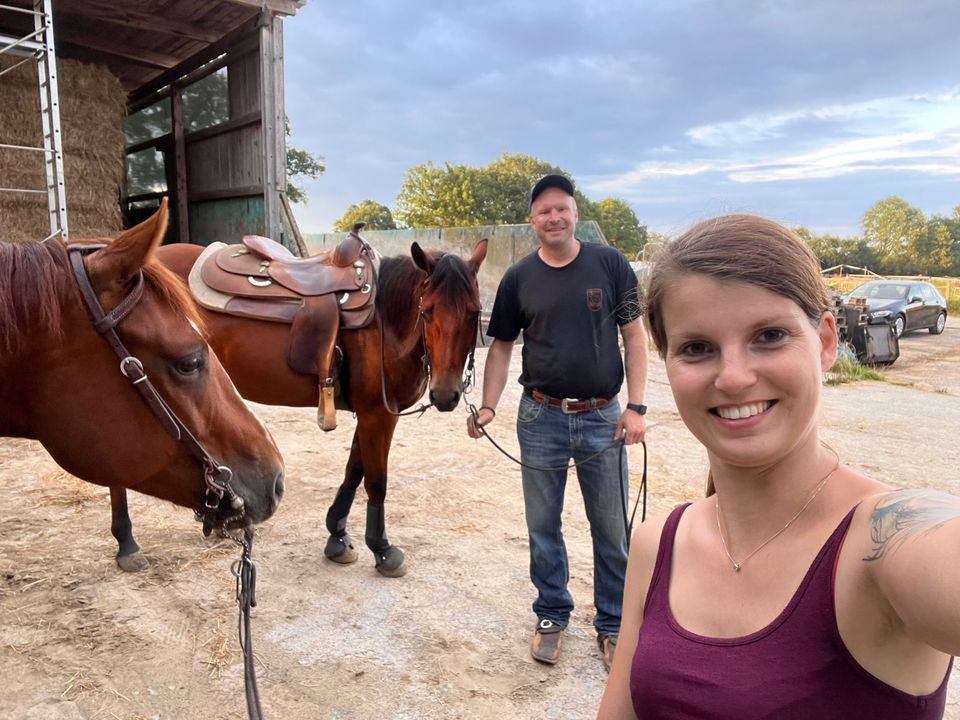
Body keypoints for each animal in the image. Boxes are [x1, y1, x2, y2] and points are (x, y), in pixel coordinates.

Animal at [158, 239, 488, 576]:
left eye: (474, 313)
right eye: (426, 311)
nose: (445, 395)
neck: (386, 322)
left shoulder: (370, 414)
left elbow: (354, 471)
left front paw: (337, 536)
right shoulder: (379, 414)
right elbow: (376, 481)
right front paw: (382, 549)